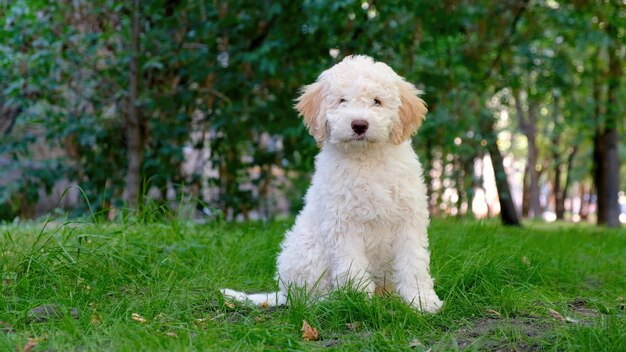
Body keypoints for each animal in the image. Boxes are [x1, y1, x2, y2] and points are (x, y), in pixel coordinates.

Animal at [222, 55, 442, 314]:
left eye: (377, 101)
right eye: (342, 100)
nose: (359, 125)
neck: (366, 159)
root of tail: (283, 292)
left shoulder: (408, 220)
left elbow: (413, 263)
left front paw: (422, 301)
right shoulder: (342, 223)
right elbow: (352, 267)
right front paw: (358, 301)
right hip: (309, 253)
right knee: (305, 299)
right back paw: (331, 301)